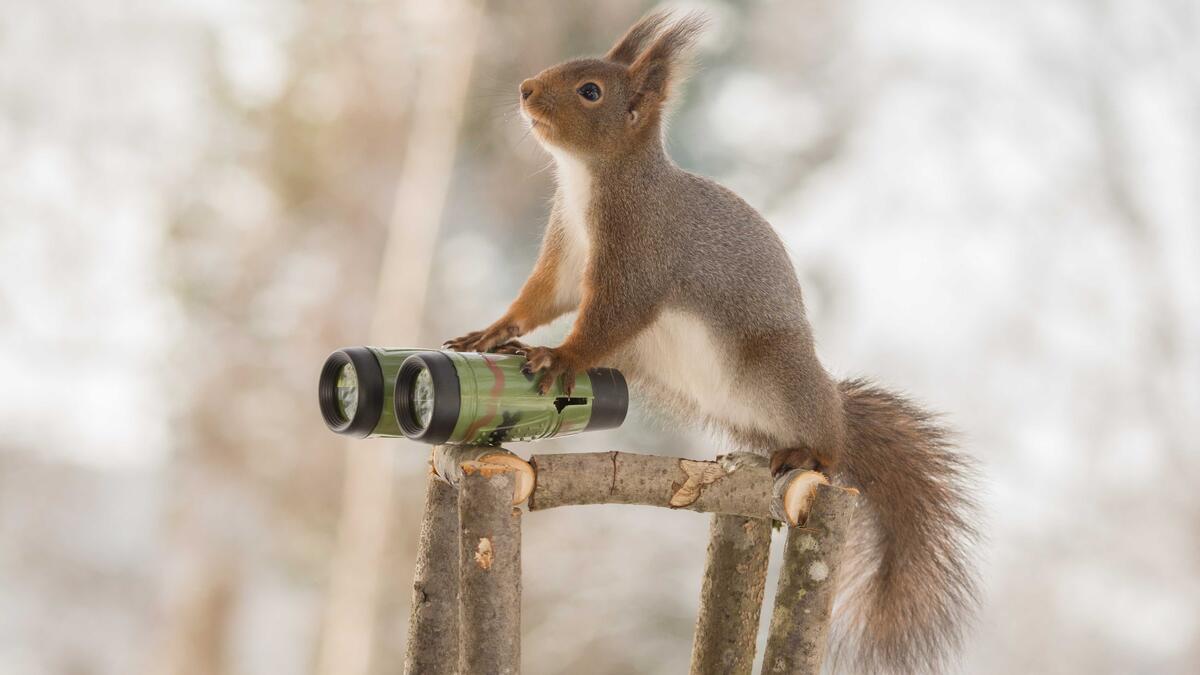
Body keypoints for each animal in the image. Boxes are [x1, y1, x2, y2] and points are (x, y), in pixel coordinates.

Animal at [445, 11, 979, 674]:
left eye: (591, 91)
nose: (525, 89)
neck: (590, 181)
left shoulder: (641, 257)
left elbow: (607, 320)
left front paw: (561, 356)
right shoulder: (566, 252)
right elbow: (542, 299)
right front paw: (496, 331)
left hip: (777, 373)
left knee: (828, 437)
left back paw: (812, 452)